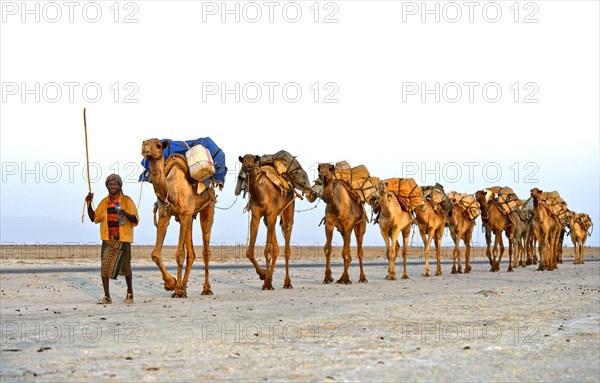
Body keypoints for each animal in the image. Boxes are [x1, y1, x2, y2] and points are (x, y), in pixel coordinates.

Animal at [141, 140, 216, 298]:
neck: (172, 189)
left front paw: (177, 289)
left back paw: (206, 289)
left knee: (206, 250)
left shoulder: (185, 214)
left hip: (208, 208)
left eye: (158, 145)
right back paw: (184, 287)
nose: (144, 148)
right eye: (144, 141)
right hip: (189, 217)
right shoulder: (165, 215)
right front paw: (172, 284)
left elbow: (179, 254)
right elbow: (155, 254)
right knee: (191, 253)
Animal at [239, 154, 296, 290]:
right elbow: (250, 252)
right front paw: (264, 276)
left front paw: (266, 281)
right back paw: (269, 280)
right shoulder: (257, 215)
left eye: (253, 161)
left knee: (286, 246)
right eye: (243, 161)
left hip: (288, 210)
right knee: (276, 248)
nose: (247, 169)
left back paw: (287, 283)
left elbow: (266, 250)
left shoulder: (271, 214)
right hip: (269, 219)